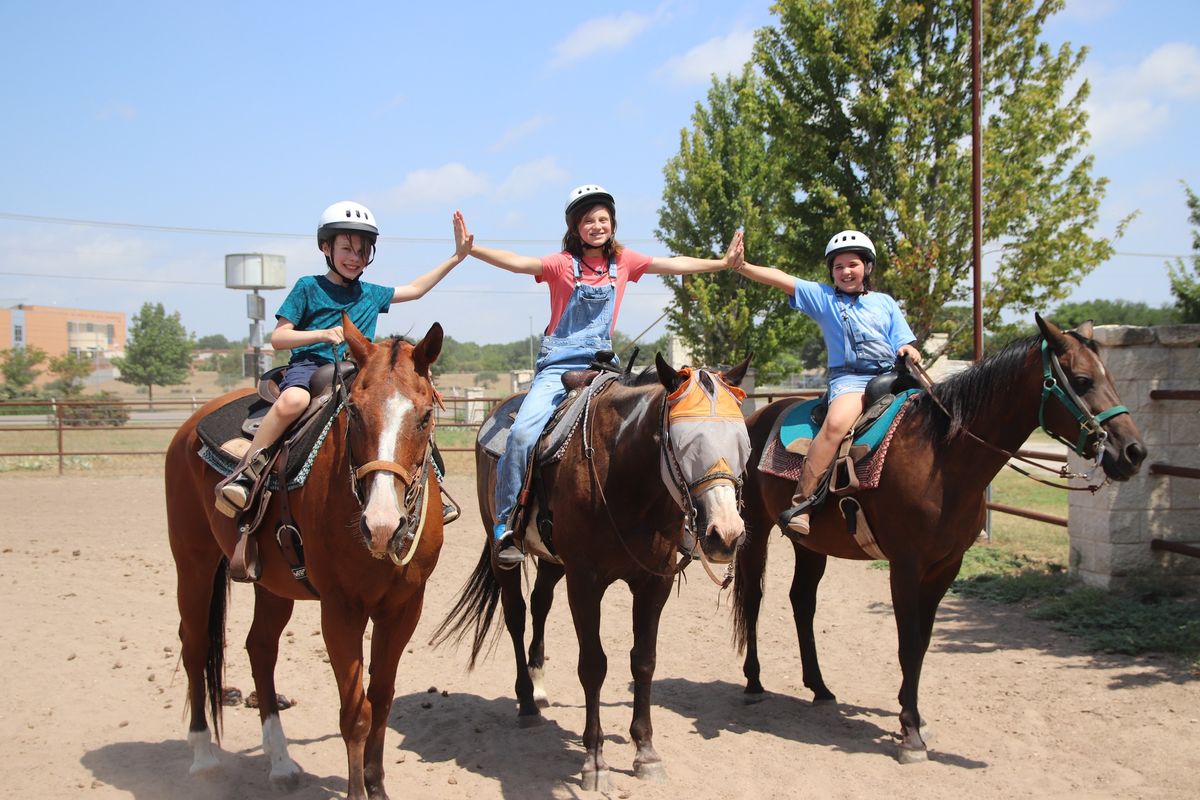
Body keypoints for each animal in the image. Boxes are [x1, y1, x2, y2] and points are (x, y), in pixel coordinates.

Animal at [168, 316, 446, 800]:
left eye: (425, 415)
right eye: (354, 411)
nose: (382, 526)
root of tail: (190, 426)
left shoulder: (404, 607)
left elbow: (382, 699)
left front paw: (376, 785)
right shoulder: (341, 611)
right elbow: (356, 714)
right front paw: (358, 792)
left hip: (272, 585)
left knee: (260, 649)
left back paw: (280, 763)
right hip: (193, 561)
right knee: (195, 644)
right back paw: (203, 757)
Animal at [432, 355, 748, 786]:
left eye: (742, 440)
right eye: (682, 440)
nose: (725, 535)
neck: (624, 477)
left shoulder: (655, 582)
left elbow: (644, 660)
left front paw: (646, 752)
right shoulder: (585, 583)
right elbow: (594, 665)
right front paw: (594, 761)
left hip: (552, 561)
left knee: (540, 604)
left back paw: (539, 685)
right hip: (504, 556)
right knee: (516, 615)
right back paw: (527, 702)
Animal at [729, 314, 1142, 762]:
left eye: (1110, 377)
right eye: (1082, 380)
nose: (1133, 452)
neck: (942, 458)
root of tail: (756, 418)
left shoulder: (946, 566)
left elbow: (923, 643)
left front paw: (912, 716)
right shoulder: (906, 566)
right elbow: (907, 642)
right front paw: (910, 733)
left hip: (809, 545)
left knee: (802, 602)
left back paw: (820, 687)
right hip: (755, 530)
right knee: (754, 598)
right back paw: (753, 682)